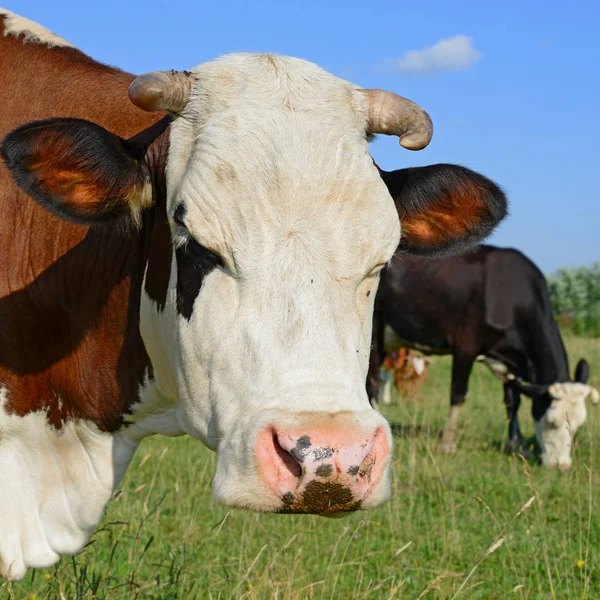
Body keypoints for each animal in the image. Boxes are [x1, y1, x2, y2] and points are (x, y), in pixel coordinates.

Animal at [366, 244, 596, 468]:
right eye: (551, 422)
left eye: (578, 425)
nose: (561, 466)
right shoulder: (466, 346)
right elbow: (458, 394)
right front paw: (447, 443)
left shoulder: (512, 362)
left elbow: (513, 402)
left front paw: (519, 445)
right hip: (375, 332)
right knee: (373, 382)